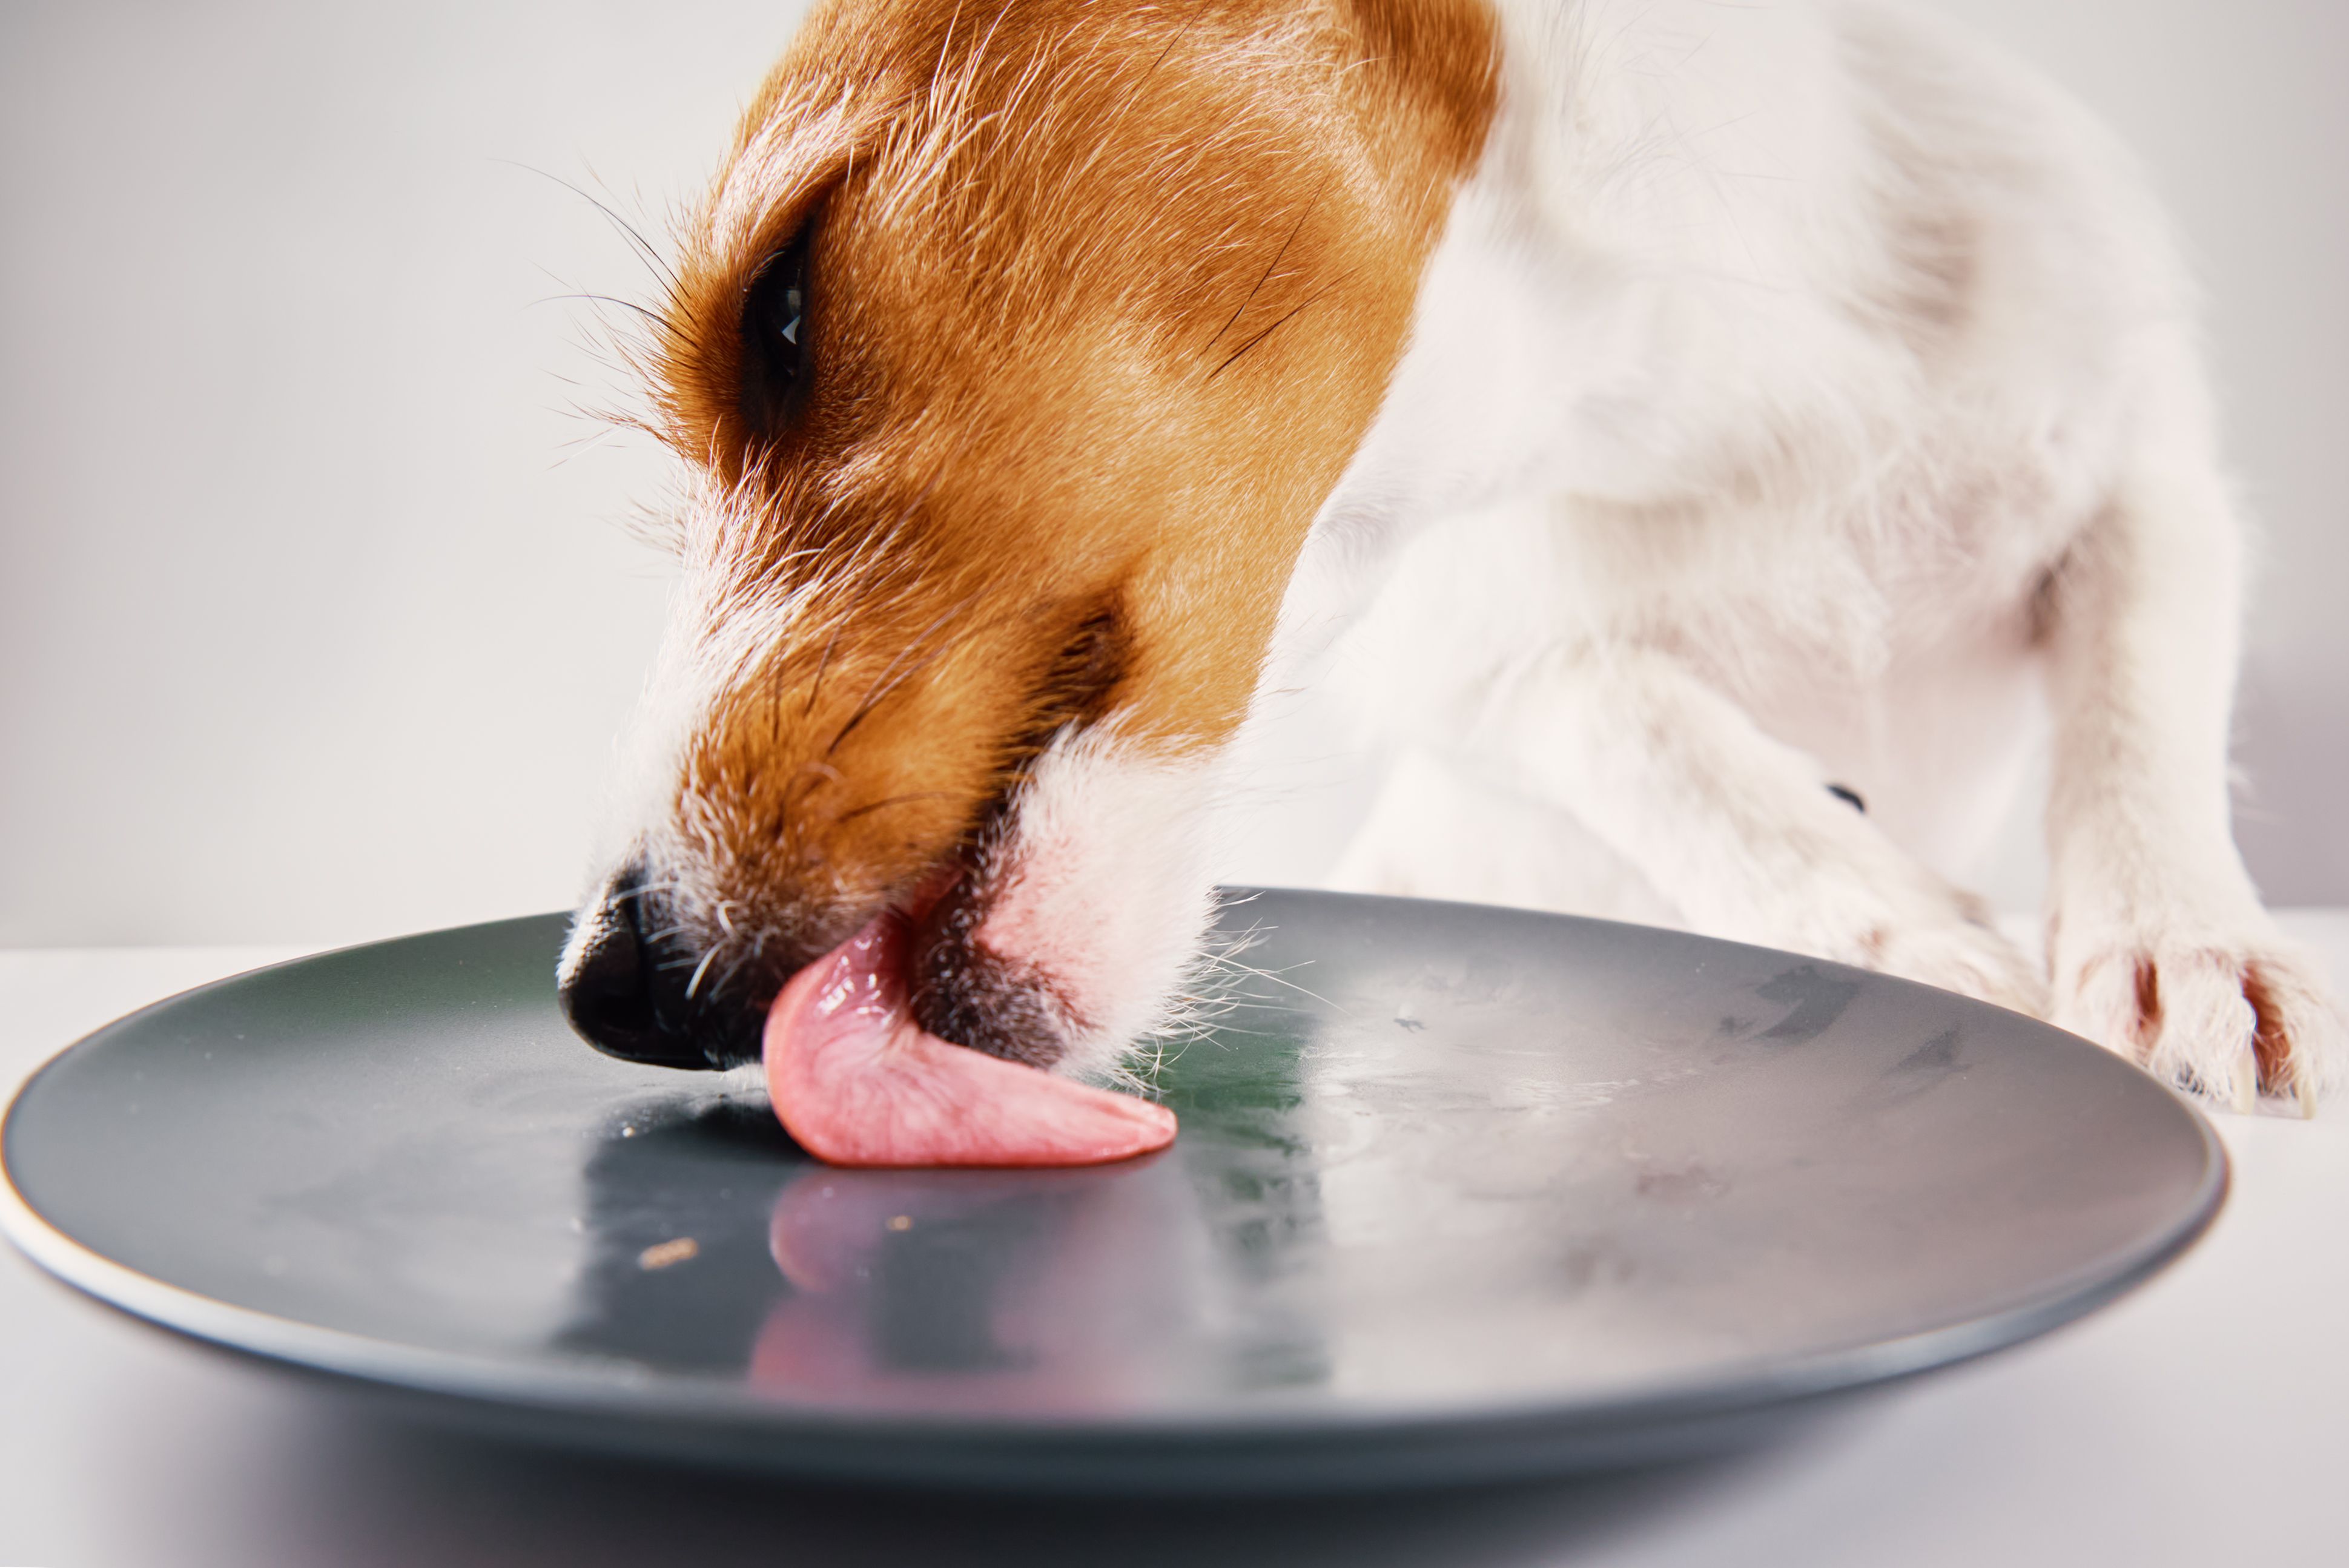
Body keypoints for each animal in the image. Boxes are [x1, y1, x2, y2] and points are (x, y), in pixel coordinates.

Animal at [549, 0, 2330, 1112]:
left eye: (779, 310)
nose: (601, 989)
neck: (1696, 403)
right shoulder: (1474, 650)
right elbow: (1642, 730)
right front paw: (1895, 921)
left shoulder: (2140, 467)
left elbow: (2137, 706)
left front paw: (2182, 948)